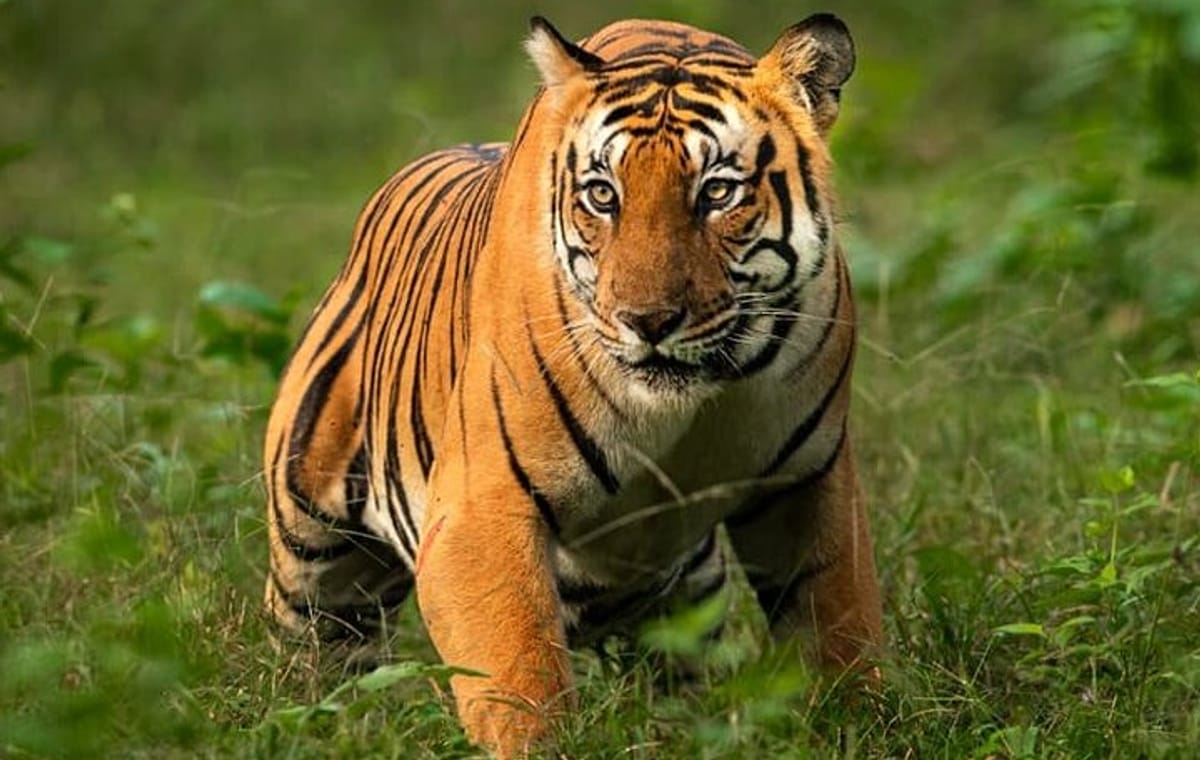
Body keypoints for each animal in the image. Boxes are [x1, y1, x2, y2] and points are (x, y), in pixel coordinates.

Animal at [263, 12, 882, 757]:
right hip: (315, 560)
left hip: (689, 592)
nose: (648, 320)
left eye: (717, 192)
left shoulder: (809, 480)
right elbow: (520, 680)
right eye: (603, 195)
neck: (690, 408)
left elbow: (839, 627)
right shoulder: (482, 510)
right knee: (321, 656)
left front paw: (862, 728)